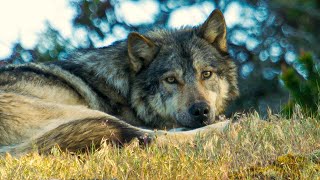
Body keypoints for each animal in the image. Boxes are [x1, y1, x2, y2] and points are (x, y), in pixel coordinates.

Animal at [0, 9, 238, 154]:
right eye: (171, 80)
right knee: (148, 138)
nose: (201, 111)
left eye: (206, 74)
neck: (127, 89)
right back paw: (230, 125)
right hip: (92, 116)